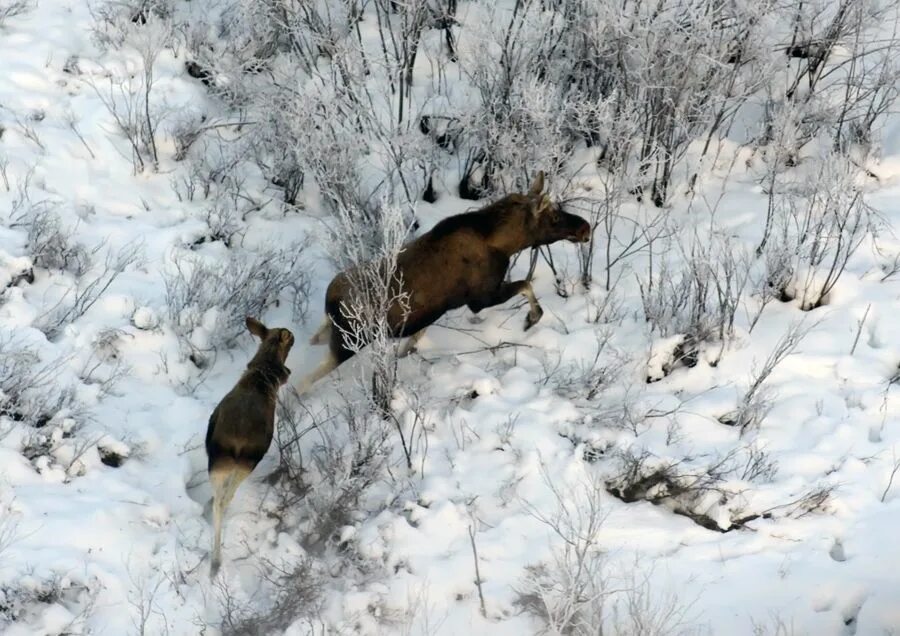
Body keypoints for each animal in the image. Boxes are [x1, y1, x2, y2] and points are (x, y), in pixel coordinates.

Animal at [205, 316, 296, 576]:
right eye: (289, 338)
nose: (292, 334)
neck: (265, 373)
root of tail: (237, 440)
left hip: (217, 461)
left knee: (217, 499)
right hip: (247, 462)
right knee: (224, 499)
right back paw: (216, 561)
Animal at [298, 171, 592, 396]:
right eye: (554, 217)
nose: (585, 228)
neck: (505, 244)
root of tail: (330, 300)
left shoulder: (433, 311)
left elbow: (417, 335)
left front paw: (407, 350)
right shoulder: (480, 298)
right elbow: (526, 285)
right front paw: (532, 318)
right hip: (349, 342)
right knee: (300, 384)